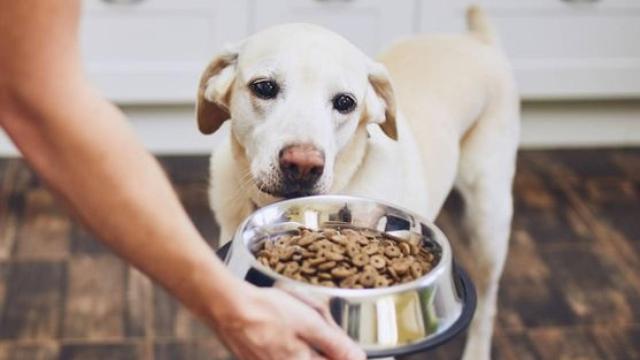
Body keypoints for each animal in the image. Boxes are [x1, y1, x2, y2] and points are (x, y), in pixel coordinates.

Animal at [199, 6, 520, 360]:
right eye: (264, 88)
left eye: (345, 102)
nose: (303, 165)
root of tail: (477, 39)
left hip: (488, 221)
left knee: (487, 302)